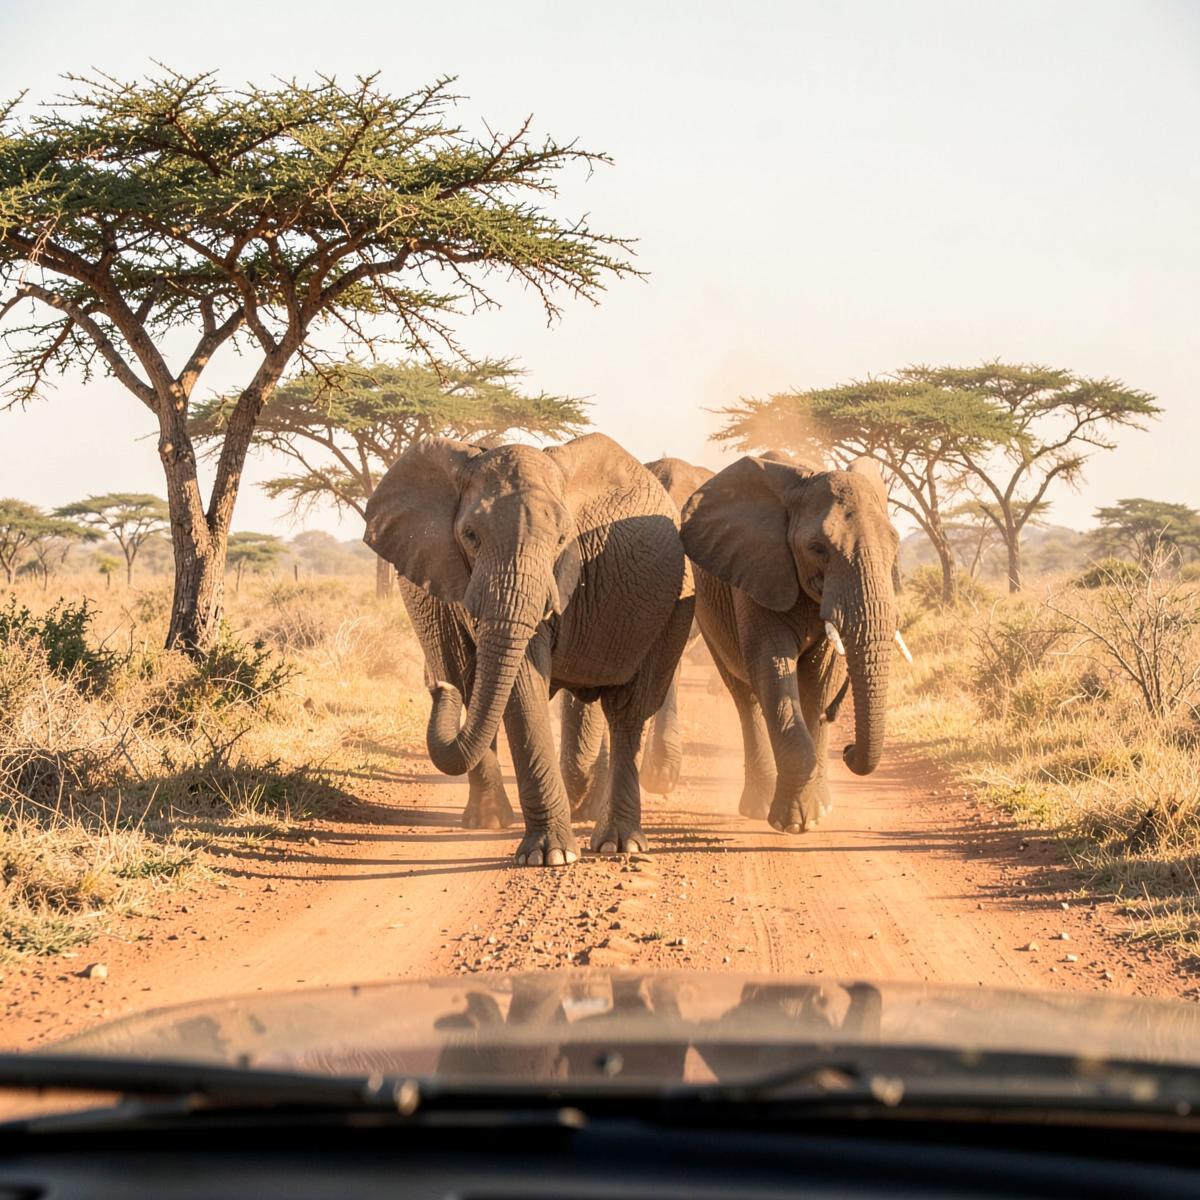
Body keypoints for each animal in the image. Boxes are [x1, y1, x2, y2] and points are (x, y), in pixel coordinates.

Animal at [364, 433, 694, 866]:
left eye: (562, 539)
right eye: (470, 536)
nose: (436, 688)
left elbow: (523, 683)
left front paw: (552, 855)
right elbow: (510, 685)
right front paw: (551, 854)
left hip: (672, 607)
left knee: (626, 711)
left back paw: (619, 844)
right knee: (469, 683)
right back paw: (488, 821)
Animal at [679, 454, 902, 833]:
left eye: (894, 546)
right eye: (818, 549)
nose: (848, 751)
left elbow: (819, 679)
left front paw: (813, 813)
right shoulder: (757, 571)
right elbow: (771, 668)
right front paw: (793, 824)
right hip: (708, 617)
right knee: (745, 697)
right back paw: (756, 807)